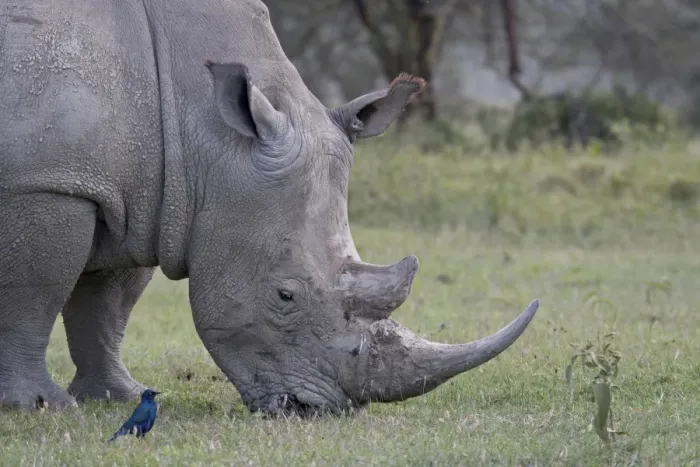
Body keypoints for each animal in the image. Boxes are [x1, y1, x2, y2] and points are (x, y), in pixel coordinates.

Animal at [0, 0, 540, 415]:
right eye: (285, 295)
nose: (316, 410)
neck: (202, 123)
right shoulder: (49, 183)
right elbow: (34, 292)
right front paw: (39, 407)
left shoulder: (139, 195)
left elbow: (108, 303)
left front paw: (118, 397)